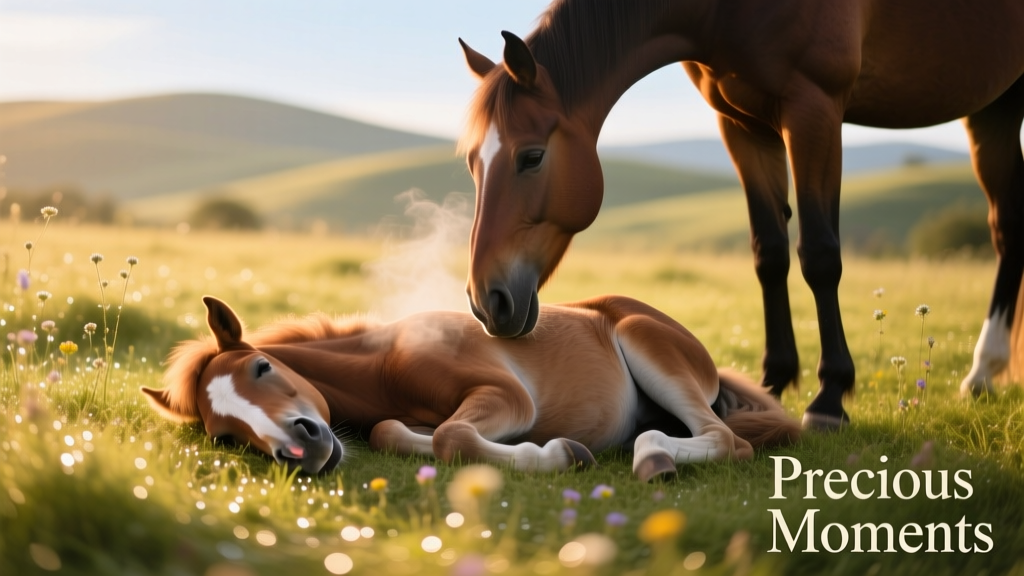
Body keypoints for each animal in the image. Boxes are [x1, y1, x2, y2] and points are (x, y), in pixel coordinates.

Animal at [142, 295, 799, 480]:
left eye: (261, 368)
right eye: (225, 437)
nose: (300, 448)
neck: (386, 366)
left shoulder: (509, 398)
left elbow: (453, 437)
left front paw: (562, 453)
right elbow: (389, 431)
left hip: (648, 345)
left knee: (728, 441)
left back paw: (653, 457)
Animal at [457, 0, 1024, 429]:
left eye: (532, 157)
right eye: (470, 162)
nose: (488, 301)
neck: (726, 10)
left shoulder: (814, 109)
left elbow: (819, 254)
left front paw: (830, 398)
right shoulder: (742, 124)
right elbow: (769, 253)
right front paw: (771, 382)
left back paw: (982, 370)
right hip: (994, 106)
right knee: (1008, 229)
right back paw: (985, 374)